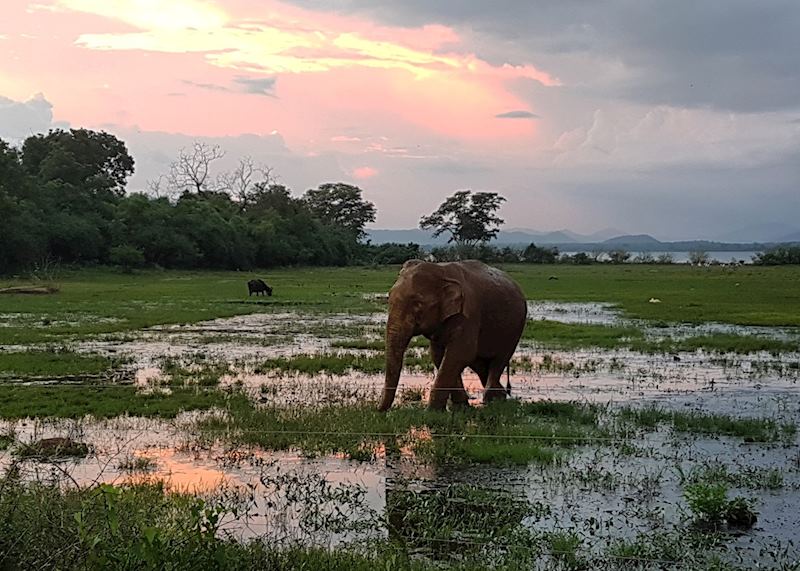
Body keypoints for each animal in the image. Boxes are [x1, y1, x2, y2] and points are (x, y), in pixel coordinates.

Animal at [379, 259, 527, 411]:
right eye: (389, 299)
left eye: (418, 304)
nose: (379, 410)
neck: (441, 271)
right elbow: (439, 355)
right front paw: (460, 406)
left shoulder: (469, 314)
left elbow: (460, 353)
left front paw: (431, 412)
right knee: (480, 363)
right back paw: (500, 396)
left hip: (515, 328)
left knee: (499, 360)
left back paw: (492, 400)